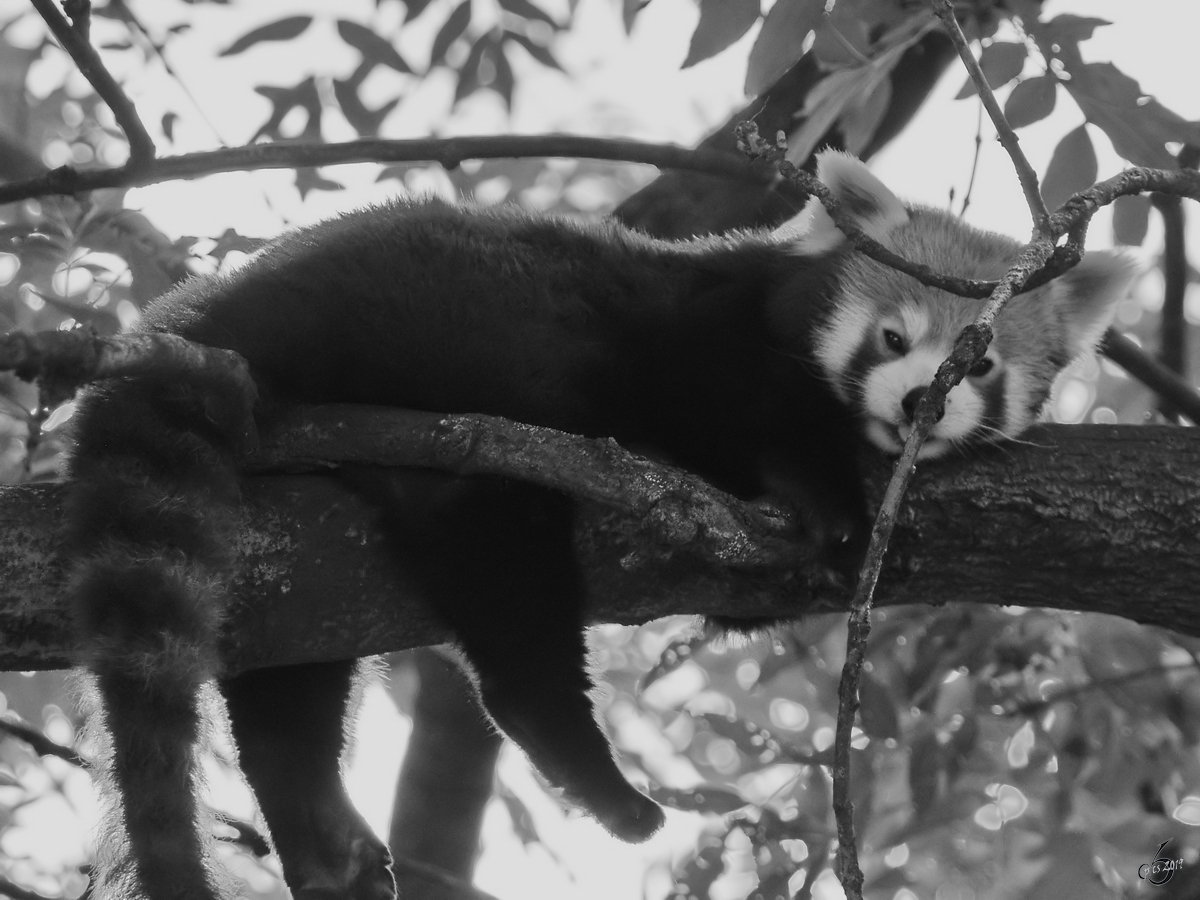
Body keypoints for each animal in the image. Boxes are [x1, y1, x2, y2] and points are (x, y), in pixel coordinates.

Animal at [60, 150, 1128, 900]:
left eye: (980, 362)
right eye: (894, 337)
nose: (917, 406)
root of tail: (201, 315)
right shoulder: (702, 333)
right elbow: (730, 404)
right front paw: (830, 503)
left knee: (293, 680)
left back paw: (323, 835)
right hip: (428, 374)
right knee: (510, 603)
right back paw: (588, 771)